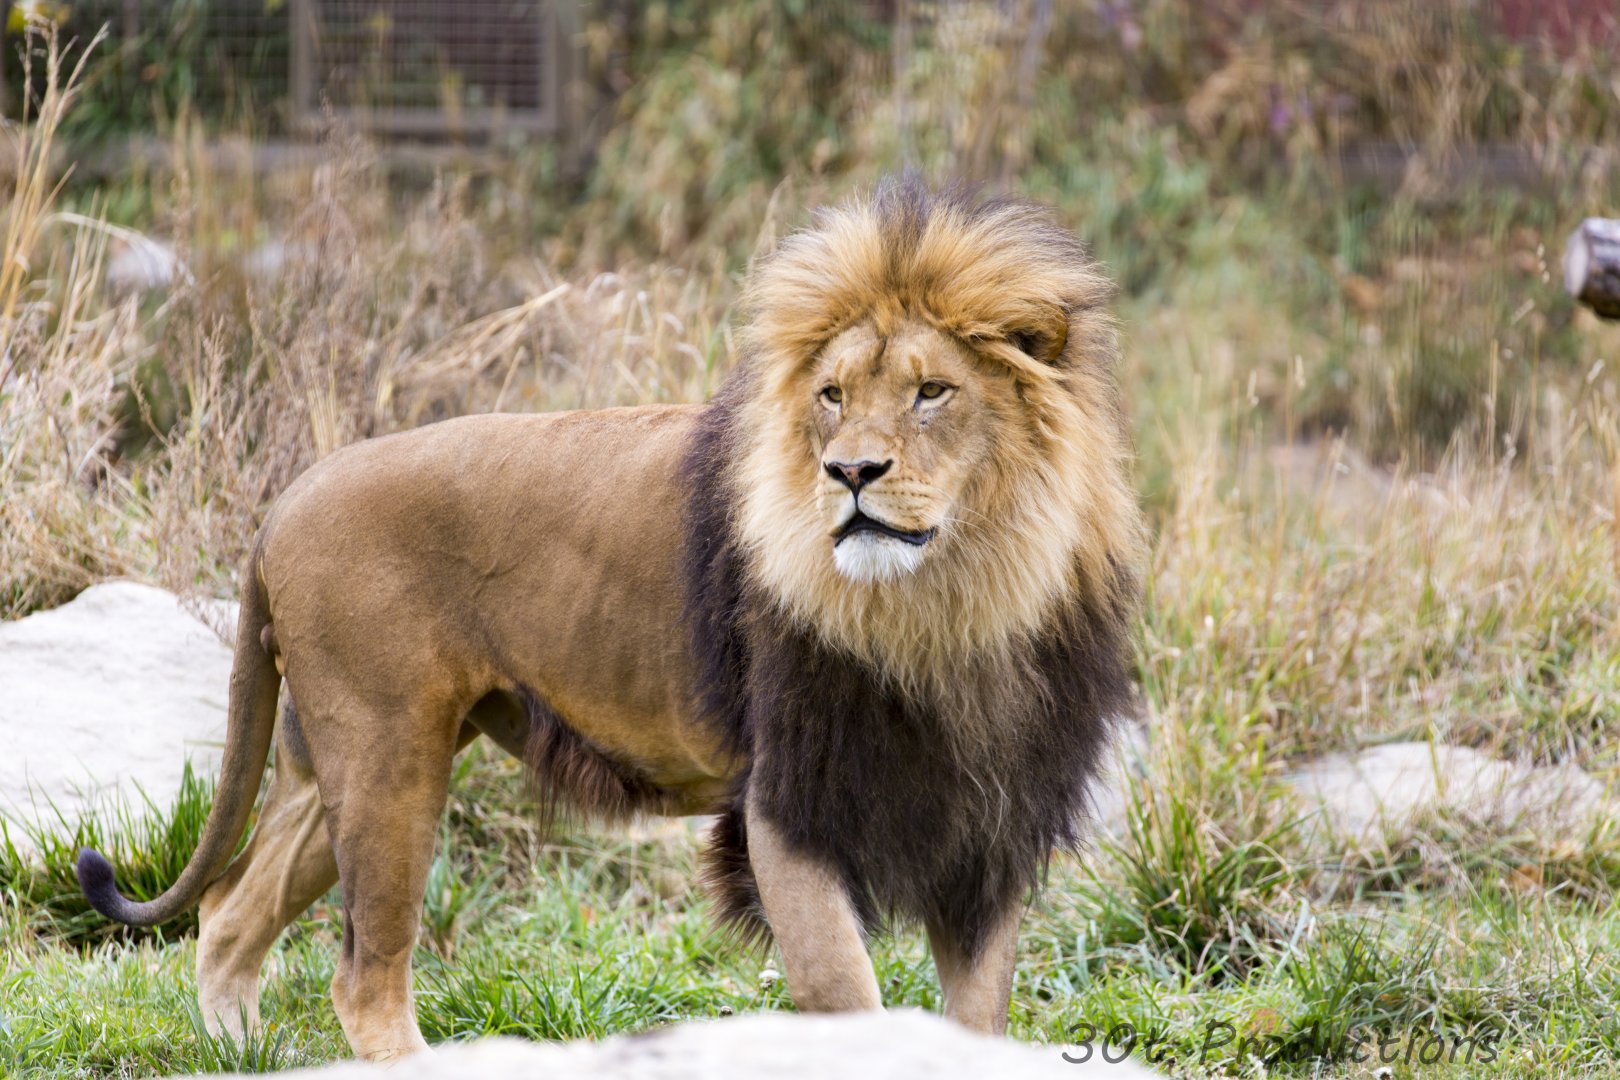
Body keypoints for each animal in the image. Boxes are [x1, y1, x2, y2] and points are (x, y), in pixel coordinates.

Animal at [76, 177, 1144, 1061]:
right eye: (833, 396)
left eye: (932, 393)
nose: (849, 472)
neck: (948, 610)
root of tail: (284, 503)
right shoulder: (785, 806)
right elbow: (849, 997)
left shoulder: (992, 819)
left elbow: (977, 1016)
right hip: (387, 756)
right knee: (363, 978)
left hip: (325, 758)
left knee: (228, 912)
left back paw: (236, 1051)